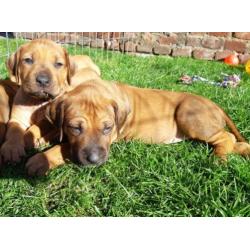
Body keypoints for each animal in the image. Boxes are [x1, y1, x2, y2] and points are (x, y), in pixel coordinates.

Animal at [25, 79, 250, 176]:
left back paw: (218, 159)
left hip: (189, 115)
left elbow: (64, 148)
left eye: (107, 128)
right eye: (75, 128)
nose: (94, 161)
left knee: (227, 138)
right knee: (234, 143)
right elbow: (54, 129)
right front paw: (36, 137)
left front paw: (40, 160)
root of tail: (215, 105)